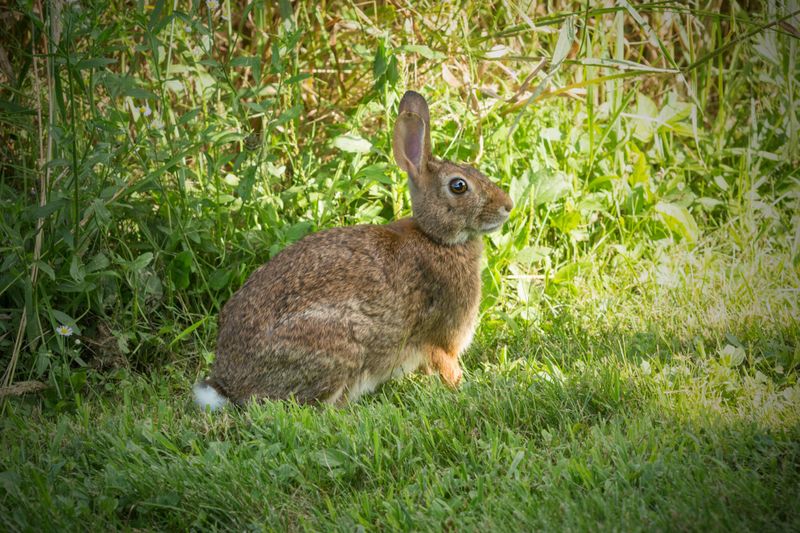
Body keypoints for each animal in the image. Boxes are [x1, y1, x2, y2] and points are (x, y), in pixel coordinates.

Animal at [194, 89, 512, 410]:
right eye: (459, 186)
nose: (507, 206)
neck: (435, 238)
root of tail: (228, 385)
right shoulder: (441, 339)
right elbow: (448, 368)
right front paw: (463, 388)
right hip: (339, 348)